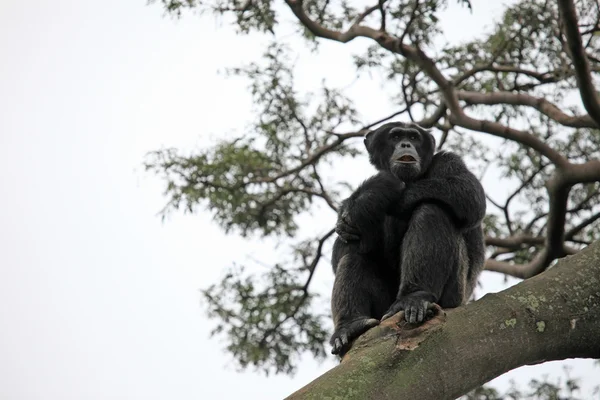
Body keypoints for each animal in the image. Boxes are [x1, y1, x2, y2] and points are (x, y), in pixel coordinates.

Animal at [330, 121, 486, 354]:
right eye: (395, 136)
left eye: (413, 137)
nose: (405, 144)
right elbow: (342, 245)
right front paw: (365, 198)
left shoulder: (449, 161)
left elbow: (469, 193)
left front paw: (377, 191)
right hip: (382, 312)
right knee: (352, 256)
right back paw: (350, 325)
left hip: (453, 296)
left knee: (431, 209)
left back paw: (414, 297)